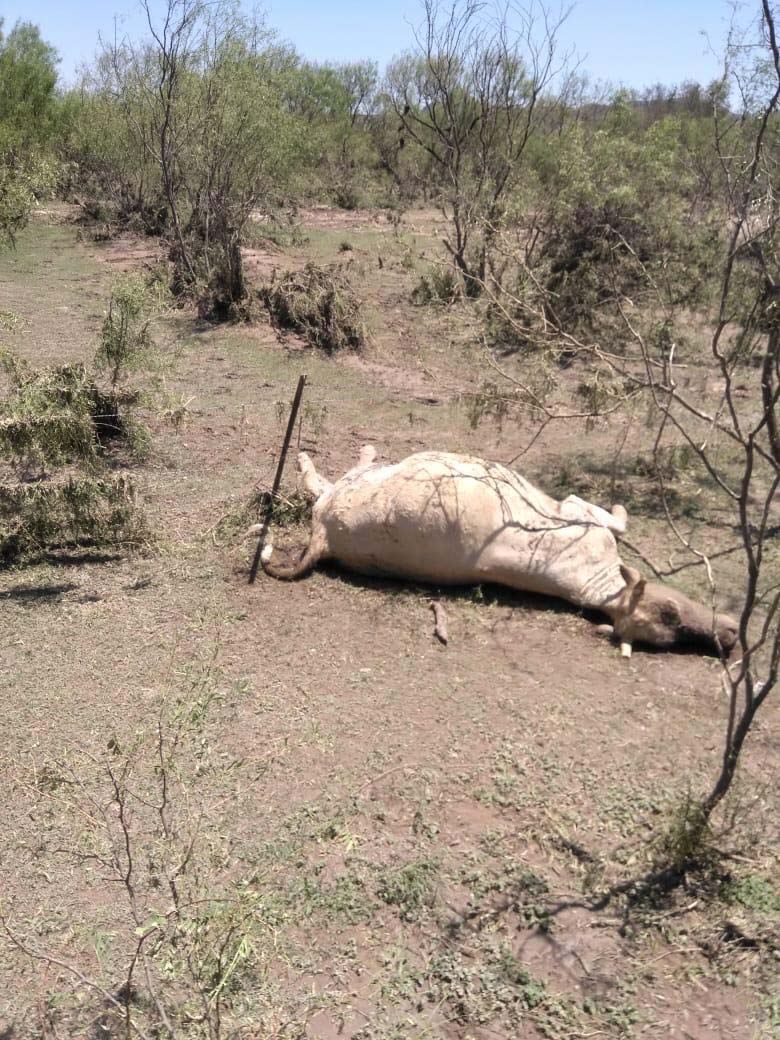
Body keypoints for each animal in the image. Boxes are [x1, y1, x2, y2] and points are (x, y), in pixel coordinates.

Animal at [257, 447, 740, 657]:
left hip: (344, 496)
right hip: (351, 489)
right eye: (671, 615)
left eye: (666, 633)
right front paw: (622, 509)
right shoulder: (580, 513)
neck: (599, 586)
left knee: (323, 483)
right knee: (327, 477)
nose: (732, 636)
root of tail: (324, 537)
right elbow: (616, 519)